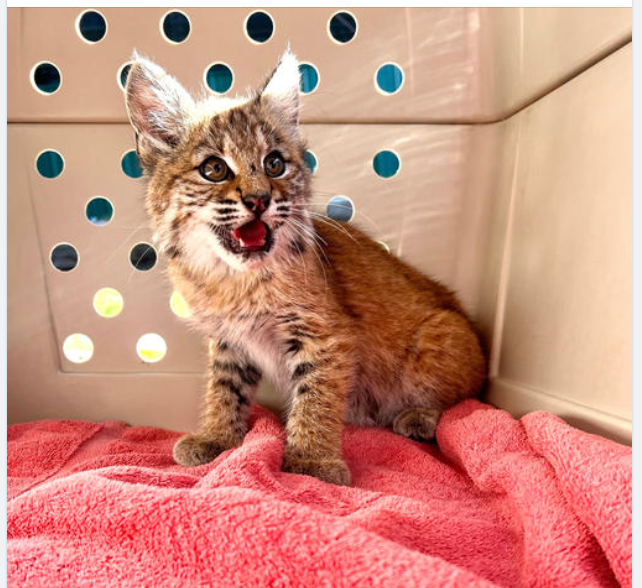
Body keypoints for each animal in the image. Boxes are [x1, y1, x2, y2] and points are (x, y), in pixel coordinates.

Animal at [125, 50, 484, 484]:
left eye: (274, 163)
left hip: (440, 333)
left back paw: (418, 417)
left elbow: (316, 396)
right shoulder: (228, 339)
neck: (234, 279)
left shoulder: (326, 334)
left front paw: (312, 461)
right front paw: (217, 437)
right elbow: (224, 387)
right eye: (214, 169)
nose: (259, 200)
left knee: (464, 405)